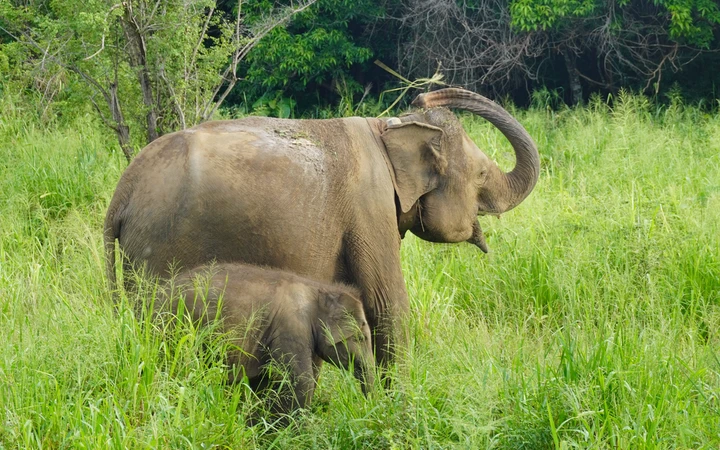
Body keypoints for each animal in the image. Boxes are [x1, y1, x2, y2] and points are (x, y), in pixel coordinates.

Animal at [104, 88, 540, 367]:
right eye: (481, 173)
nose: (422, 95)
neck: (391, 128)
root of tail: (122, 192)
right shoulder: (369, 209)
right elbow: (388, 306)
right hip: (159, 247)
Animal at [155, 262, 375, 420]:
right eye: (361, 338)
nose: (366, 409)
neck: (319, 291)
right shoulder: (290, 329)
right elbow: (301, 381)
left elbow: (264, 383)